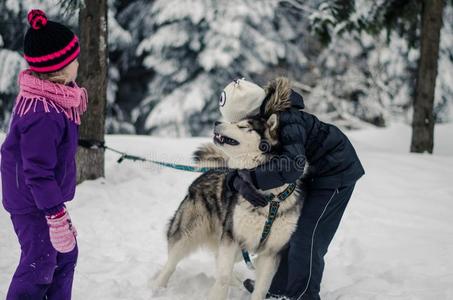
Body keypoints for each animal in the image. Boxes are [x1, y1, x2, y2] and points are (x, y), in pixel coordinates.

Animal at [153, 92, 304, 300]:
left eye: (243, 126)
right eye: (236, 122)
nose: (216, 122)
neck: (268, 196)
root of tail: (212, 171)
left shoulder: (271, 252)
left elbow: (261, 288)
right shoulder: (231, 238)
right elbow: (223, 277)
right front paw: (217, 293)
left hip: (236, 247)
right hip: (190, 234)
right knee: (171, 263)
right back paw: (155, 287)